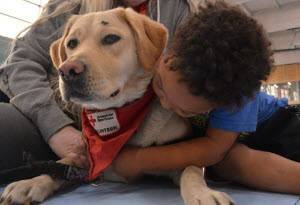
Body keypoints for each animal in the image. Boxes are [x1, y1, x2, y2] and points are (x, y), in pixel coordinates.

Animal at [0, 7, 234, 205]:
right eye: (72, 43)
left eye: (111, 38)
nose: (67, 70)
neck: (116, 116)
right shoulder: (85, 158)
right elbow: (63, 163)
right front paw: (30, 182)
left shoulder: (183, 153)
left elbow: (191, 171)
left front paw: (203, 194)